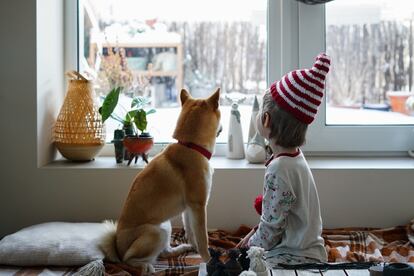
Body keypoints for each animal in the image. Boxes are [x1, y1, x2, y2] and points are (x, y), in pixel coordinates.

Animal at [100, 88, 222, 272]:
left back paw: (181, 248)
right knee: (129, 261)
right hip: (156, 232)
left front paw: (194, 248)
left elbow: (191, 233)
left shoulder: (190, 208)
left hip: (165, 225)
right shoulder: (199, 206)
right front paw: (208, 260)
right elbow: (203, 239)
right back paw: (146, 267)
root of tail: (117, 248)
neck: (190, 146)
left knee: (164, 253)